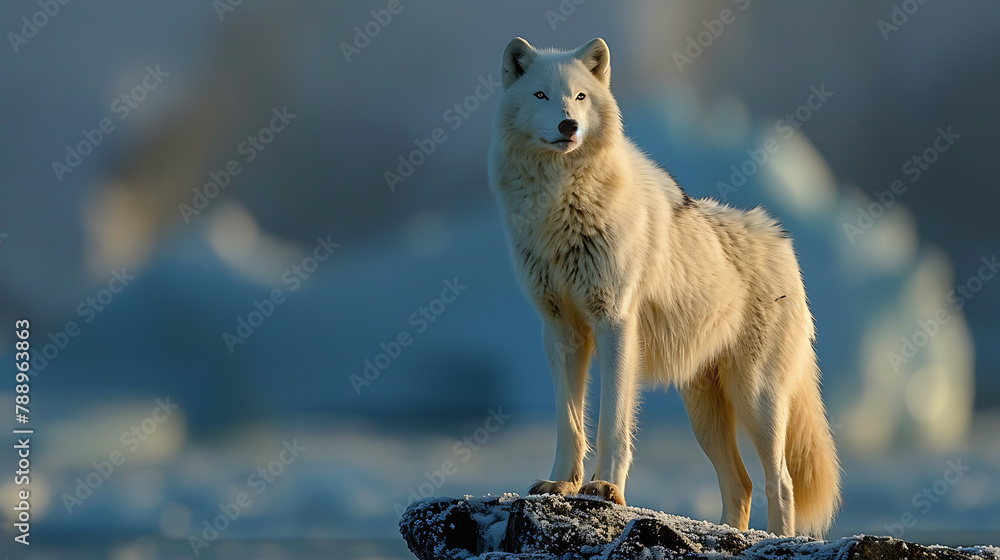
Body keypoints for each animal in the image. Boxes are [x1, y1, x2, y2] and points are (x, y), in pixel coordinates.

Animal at [487, 37, 841, 537]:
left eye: (580, 96)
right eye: (540, 95)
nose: (568, 124)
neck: (560, 203)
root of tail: (783, 244)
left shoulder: (615, 324)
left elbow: (612, 421)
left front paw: (605, 489)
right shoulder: (560, 332)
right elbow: (569, 423)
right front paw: (561, 484)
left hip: (756, 397)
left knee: (782, 482)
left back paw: (774, 538)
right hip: (704, 413)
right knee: (742, 483)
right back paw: (728, 534)